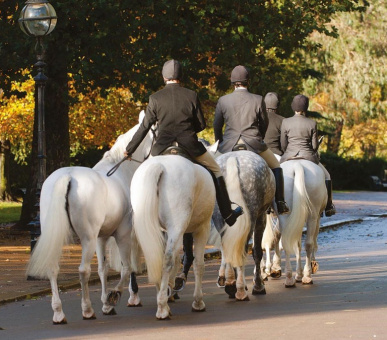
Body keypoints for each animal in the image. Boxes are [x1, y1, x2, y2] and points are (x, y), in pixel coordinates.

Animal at [25, 112, 153, 324]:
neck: (120, 171)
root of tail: (67, 176)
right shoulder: (123, 234)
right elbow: (126, 268)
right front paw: (112, 297)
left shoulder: (102, 237)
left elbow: (103, 269)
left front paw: (106, 303)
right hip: (88, 238)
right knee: (84, 270)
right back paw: (87, 310)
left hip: (58, 235)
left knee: (53, 268)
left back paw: (58, 313)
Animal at [130, 154, 215, 318]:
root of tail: (159, 165)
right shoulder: (202, 229)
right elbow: (198, 264)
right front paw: (198, 302)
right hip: (178, 228)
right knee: (167, 259)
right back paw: (162, 308)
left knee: (154, 257)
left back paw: (162, 299)